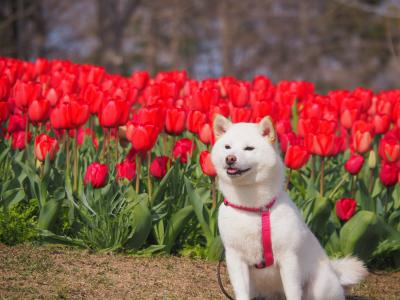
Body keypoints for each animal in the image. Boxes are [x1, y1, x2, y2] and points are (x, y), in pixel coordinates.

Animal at [211, 115, 368, 300]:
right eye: (227, 147)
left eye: (249, 148)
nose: (230, 158)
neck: (254, 208)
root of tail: (335, 274)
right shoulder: (235, 257)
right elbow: (241, 291)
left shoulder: (288, 258)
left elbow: (292, 291)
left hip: (319, 286)